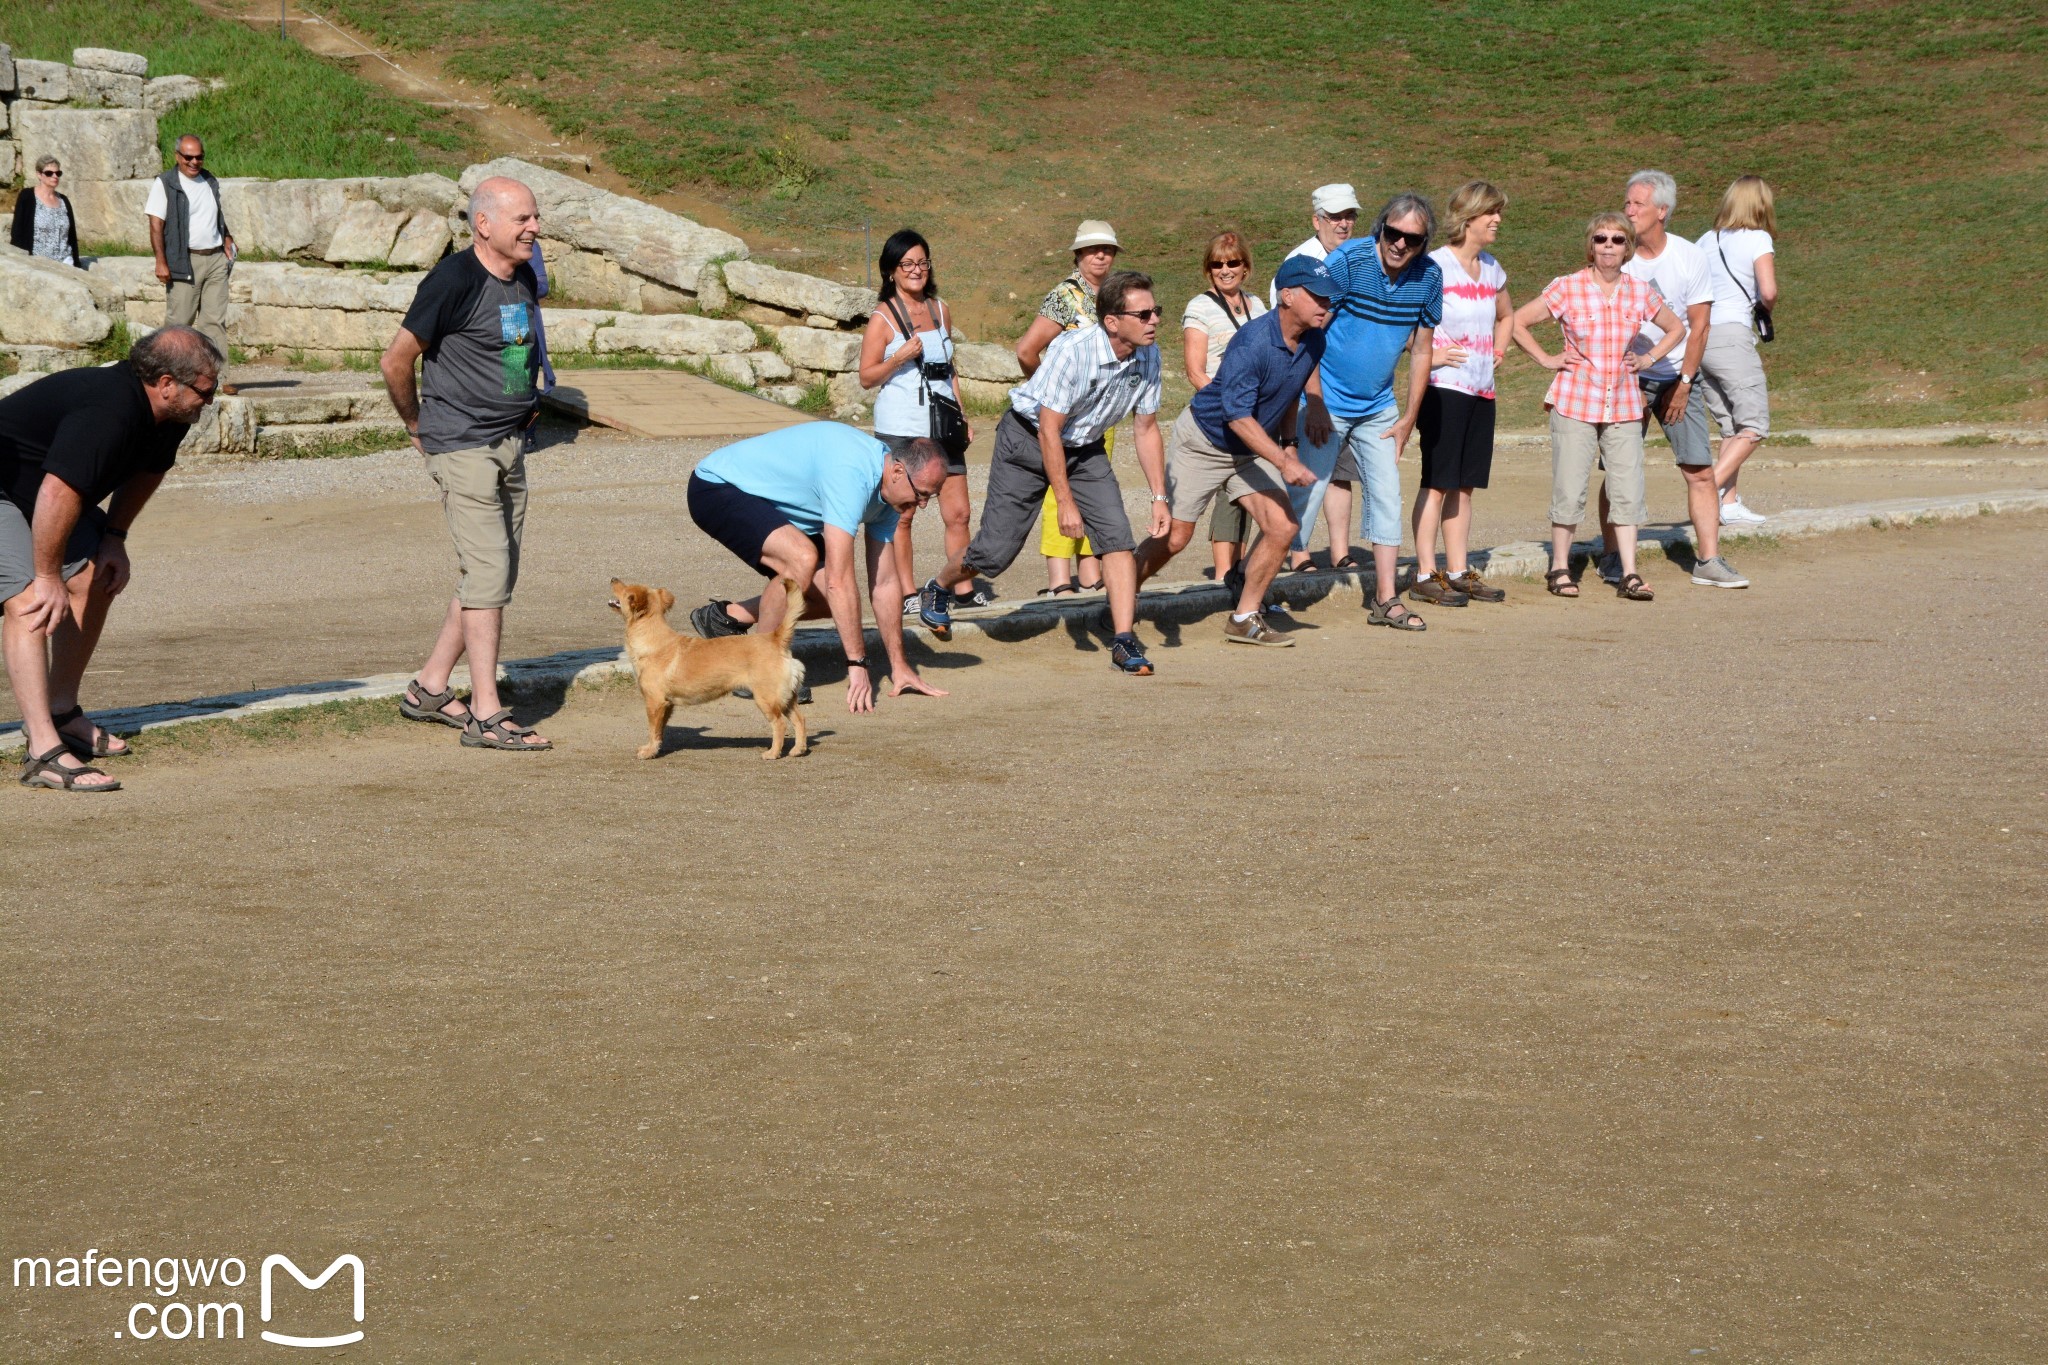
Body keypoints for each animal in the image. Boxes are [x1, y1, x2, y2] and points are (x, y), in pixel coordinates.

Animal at [606, 581, 806, 757]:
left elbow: (652, 730)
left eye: (626, 590)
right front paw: (655, 748)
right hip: (787, 699)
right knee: (799, 720)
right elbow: (660, 731)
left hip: (767, 699)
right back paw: (798, 750)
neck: (651, 640)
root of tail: (775, 638)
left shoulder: (655, 702)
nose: (613, 579)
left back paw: (773, 753)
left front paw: (649, 752)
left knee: (779, 725)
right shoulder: (666, 704)